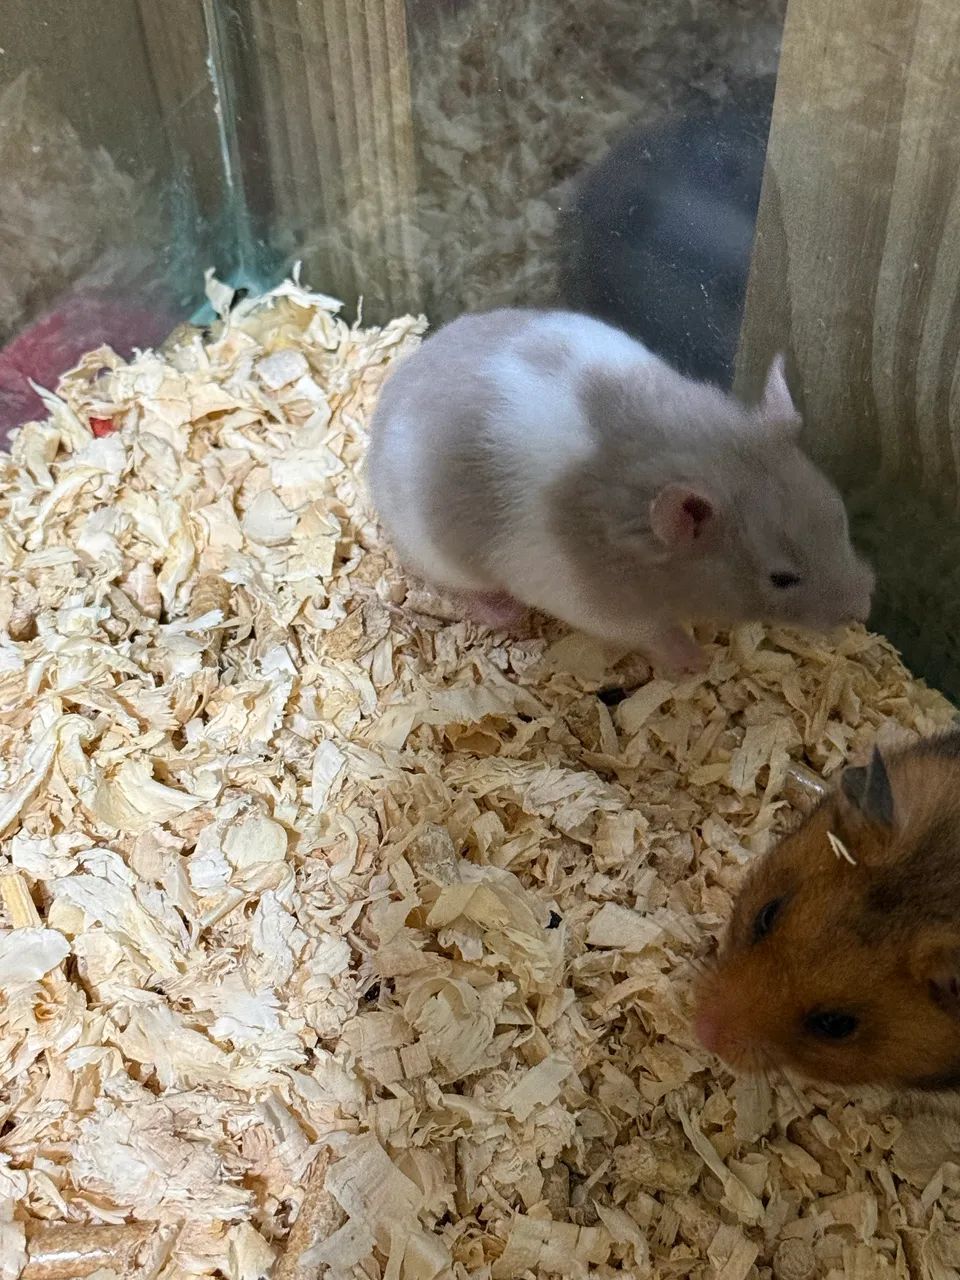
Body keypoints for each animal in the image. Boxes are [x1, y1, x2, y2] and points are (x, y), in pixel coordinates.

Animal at [365, 308, 874, 673]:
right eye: (782, 578)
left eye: (842, 522)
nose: (863, 611)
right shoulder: (596, 604)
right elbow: (652, 633)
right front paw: (696, 662)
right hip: (435, 553)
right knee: (450, 585)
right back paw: (502, 613)